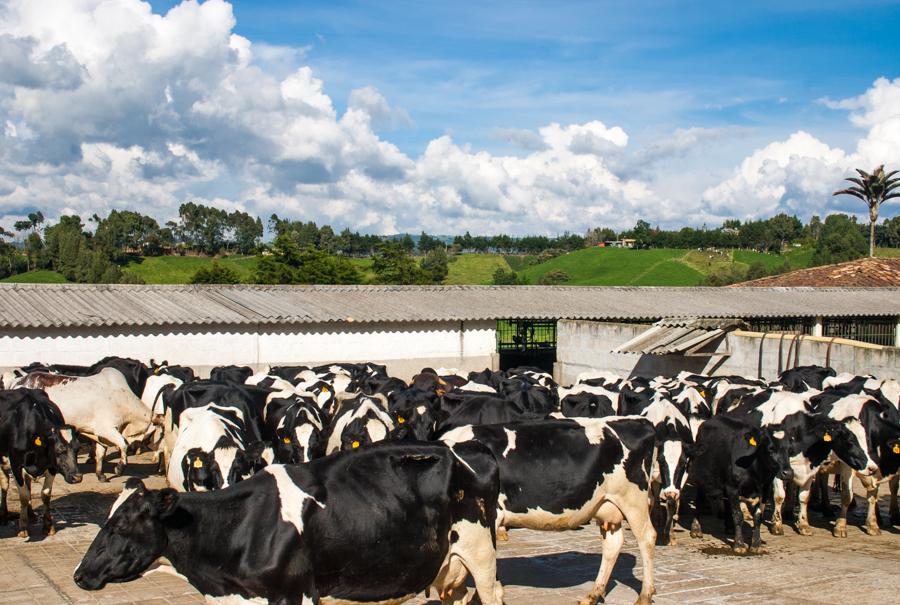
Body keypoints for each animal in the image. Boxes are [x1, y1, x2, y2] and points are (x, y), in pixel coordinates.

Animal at [0, 390, 81, 536]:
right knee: (4, 484)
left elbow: (45, 494)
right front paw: (23, 527)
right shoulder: (16, 464)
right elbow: (23, 496)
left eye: (78, 448)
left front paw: (48, 526)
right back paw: (3, 515)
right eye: (59, 450)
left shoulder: (52, 466)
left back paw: (31, 514)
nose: (77, 477)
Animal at [14, 368, 156, 482]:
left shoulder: (99, 435)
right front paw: (120, 468)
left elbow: (101, 454)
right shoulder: (107, 429)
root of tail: (19, 383)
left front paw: (100, 475)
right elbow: (124, 444)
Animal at [75, 438, 506, 604]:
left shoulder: (292, 593)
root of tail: (465, 447)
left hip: (480, 554)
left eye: (120, 525)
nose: (80, 575)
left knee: (492, 592)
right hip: (447, 567)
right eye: (105, 521)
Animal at [442, 416, 656, 604]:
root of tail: (640, 421)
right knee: (613, 544)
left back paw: (645, 595)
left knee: (647, 537)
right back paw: (593, 595)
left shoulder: (490, 518)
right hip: (608, 505)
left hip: (633, 499)